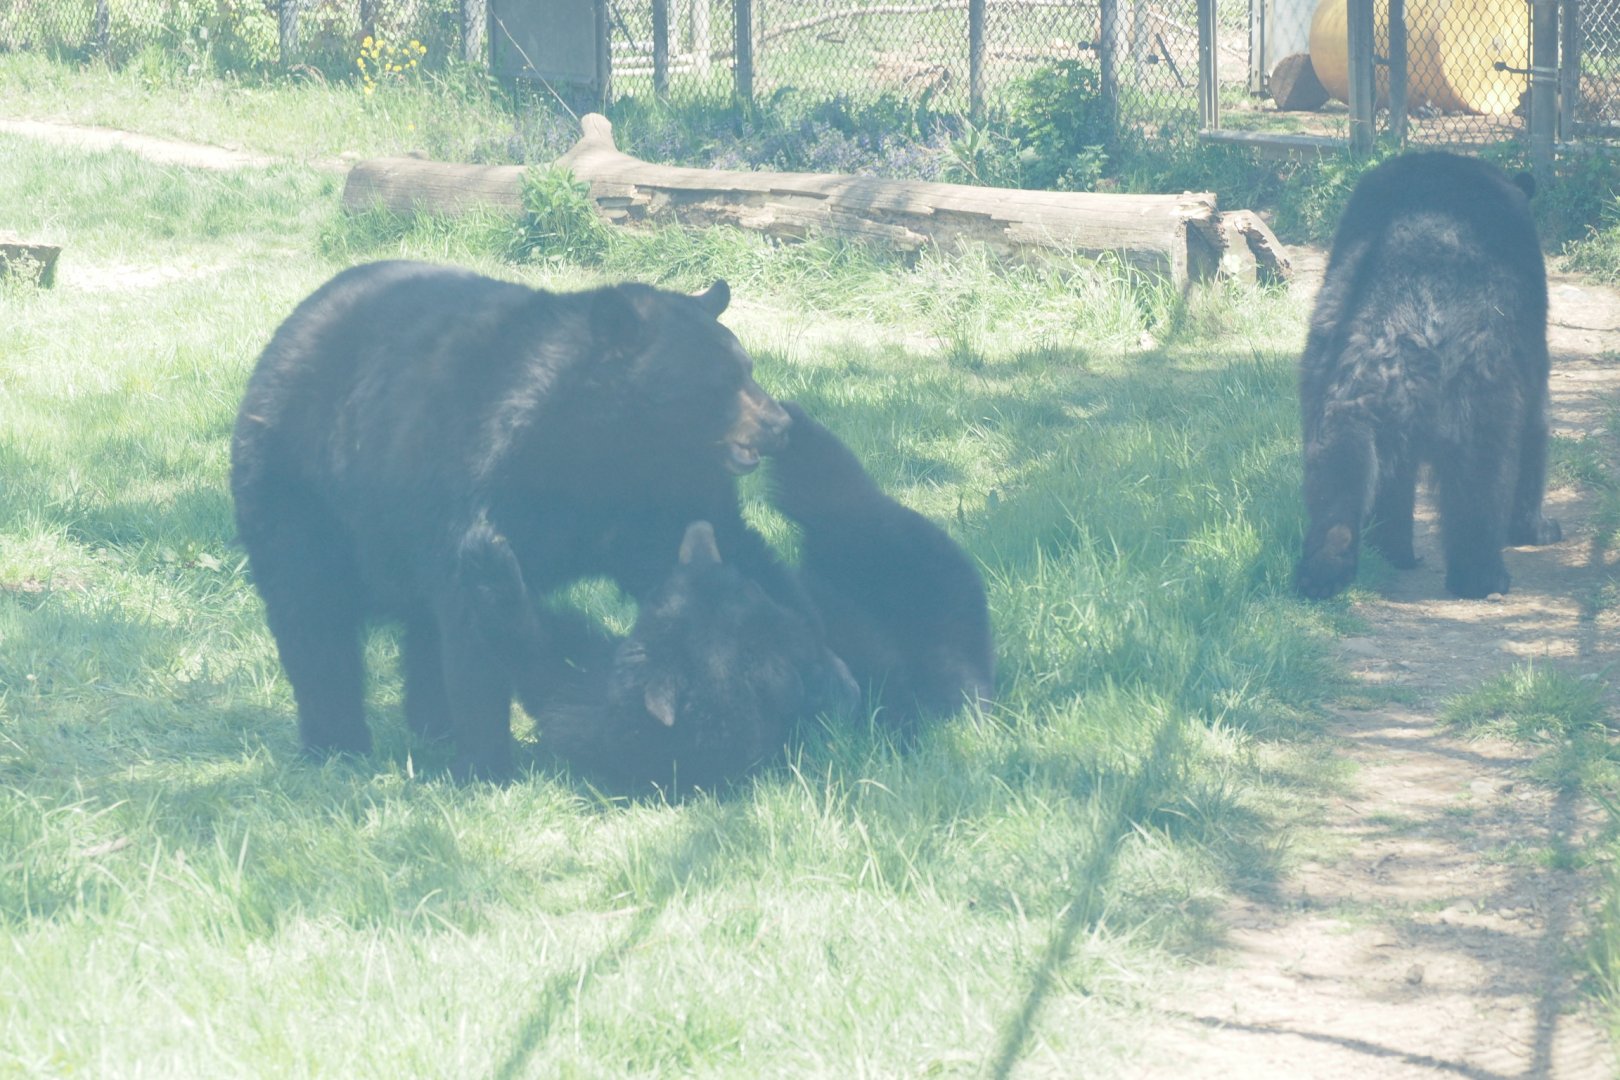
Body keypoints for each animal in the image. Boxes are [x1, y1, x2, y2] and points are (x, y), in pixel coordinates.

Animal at [231, 260, 811, 780]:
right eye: (722, 382)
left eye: (748, 368)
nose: (780, 425)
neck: (604, 442)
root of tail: (290, 328)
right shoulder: (482, 475)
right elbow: (473, 610)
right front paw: (486, 765)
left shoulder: (659, 493)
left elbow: (730, 551)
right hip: (299, 486)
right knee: (309, 609)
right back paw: (337, 741)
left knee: (418, 623)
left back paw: (432, 724)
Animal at [1294, 152, 1561, 600]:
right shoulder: (1527, 335)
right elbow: (1535, 424)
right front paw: (1539, 527)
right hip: (1477, 371)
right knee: (1480, 473)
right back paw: (1483, 575)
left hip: (1333, 381)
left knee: (1341, 467)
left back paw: (1339, 560)